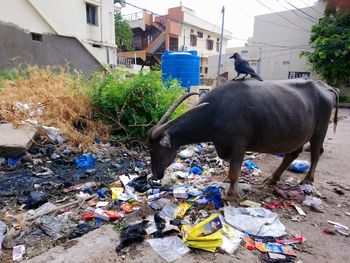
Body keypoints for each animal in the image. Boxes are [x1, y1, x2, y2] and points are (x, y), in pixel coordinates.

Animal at [148, 80, 340, 202]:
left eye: (156, 149)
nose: (156, 174)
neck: (216, 110)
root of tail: (327, 88)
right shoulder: (223, 144)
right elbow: (229, 166)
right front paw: (228, 183)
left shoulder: (239, 144)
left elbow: (234, 171)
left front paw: (231, 195)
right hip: (298, 134)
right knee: (292, 154)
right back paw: (272, 179)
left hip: (319, 131)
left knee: (316, 153)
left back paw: (307, 180)